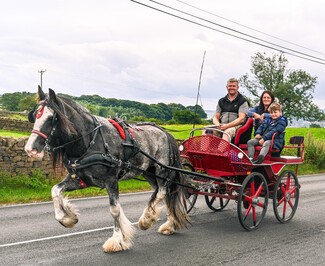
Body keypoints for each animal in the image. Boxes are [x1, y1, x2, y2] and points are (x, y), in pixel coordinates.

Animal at [24, 86, 190, 252]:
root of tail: (165, 132)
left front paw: (116, 240)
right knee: (165, 194)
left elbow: (114, 210)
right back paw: (168, 224)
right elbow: (55, 190)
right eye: (34, 116)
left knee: (162, 192)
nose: (30, 149)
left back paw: (147, 219)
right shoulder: (80, 180)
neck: (90, 141)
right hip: (149, 173)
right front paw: (68, 218)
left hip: (162, 171)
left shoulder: (111, 180)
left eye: (52, 118)